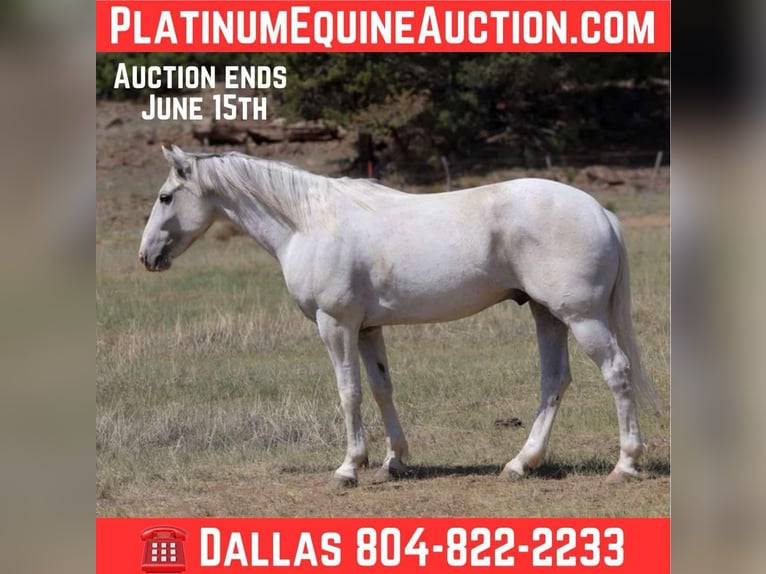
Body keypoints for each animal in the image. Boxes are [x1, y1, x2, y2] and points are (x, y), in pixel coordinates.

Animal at [139, 145, 661, 487]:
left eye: (166, 197)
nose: (146, 257)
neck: (309, 222)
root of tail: (600, 212)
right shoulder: (368, 329)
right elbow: (380, 388)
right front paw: (394, 462)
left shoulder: (336, 325)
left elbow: (348, 393)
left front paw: (349, 468)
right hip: (547, 314)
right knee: (554, 381)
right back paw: (520, 463)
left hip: (582, 318)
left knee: (617, 373)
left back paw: (624, 465)